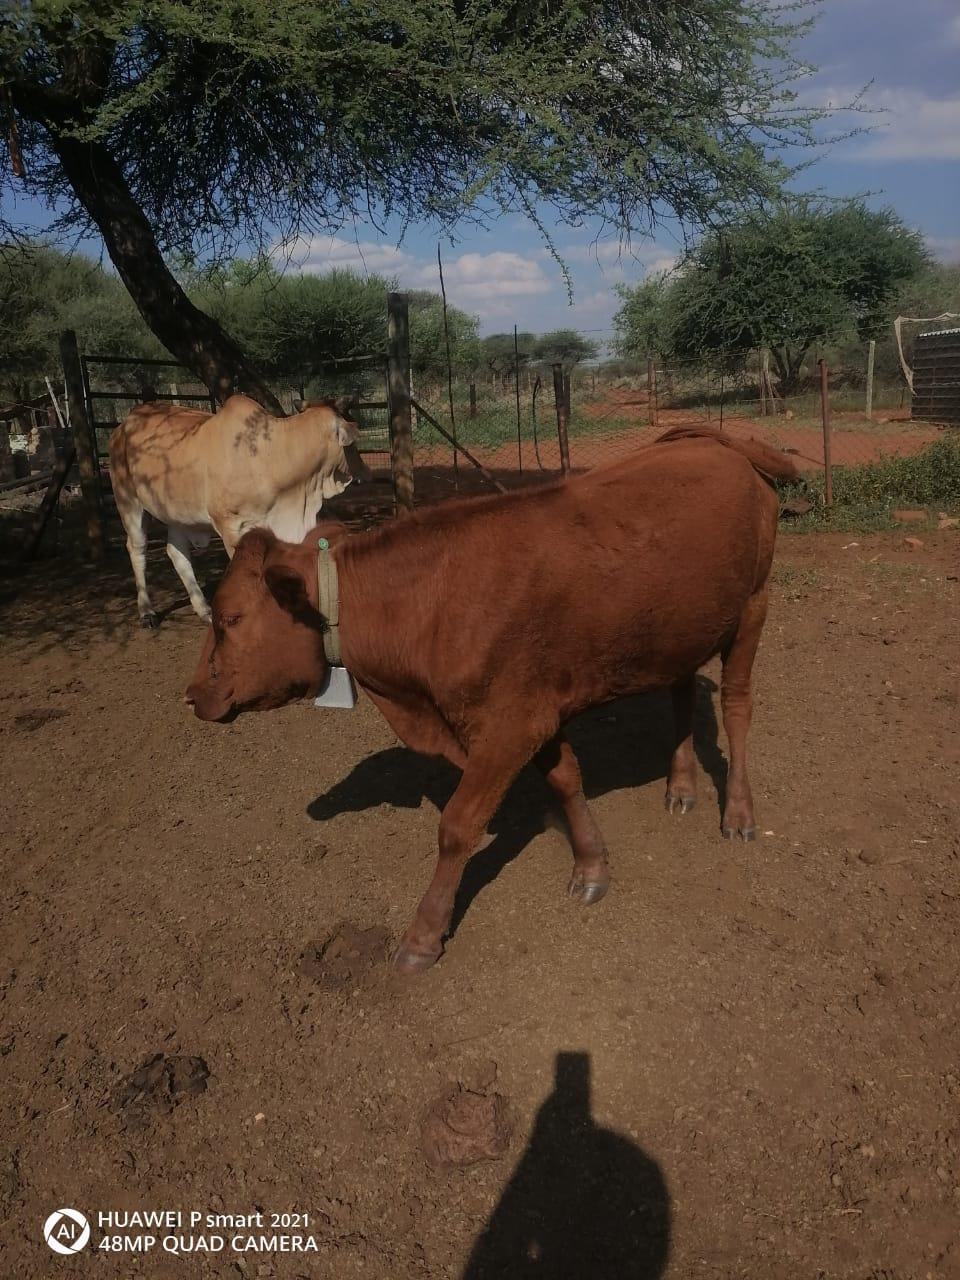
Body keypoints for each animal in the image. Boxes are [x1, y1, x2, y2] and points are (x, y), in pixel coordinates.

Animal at [109, 395, 365, 628]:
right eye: (352, 446)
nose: (364, 470)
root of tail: (123, 426)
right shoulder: (232, 527)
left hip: (178, 514)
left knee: (176, 552)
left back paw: (204, 610)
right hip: (129, 503)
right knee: (137, 549)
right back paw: (147, 612)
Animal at [186, 425, 798, 973]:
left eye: (231, 617)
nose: (193, 694)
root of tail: (715, 441)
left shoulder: (508, 728)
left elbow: (458, 825)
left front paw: (423, 935)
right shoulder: (535, 711)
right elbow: (566, 780)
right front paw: (591, 865)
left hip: (754, 605)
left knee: (738, 705)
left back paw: (738, 812)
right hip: (678, 628)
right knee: (681, 695)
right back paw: (681, 786)